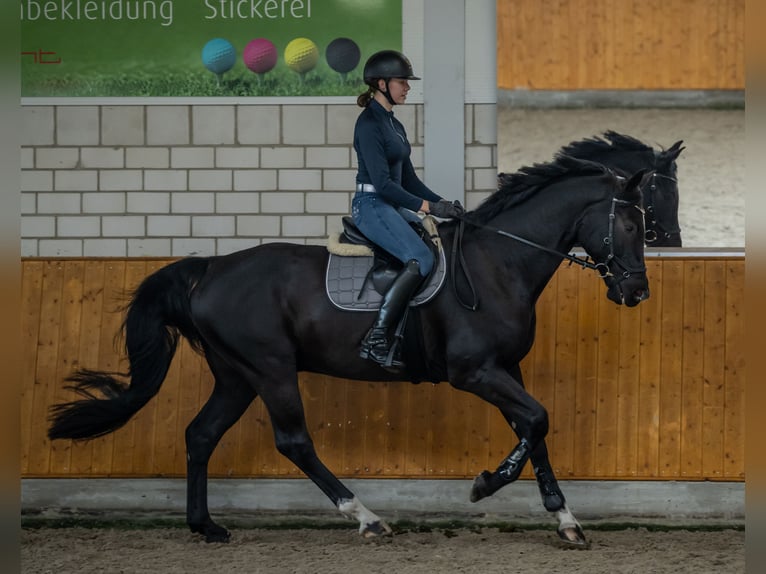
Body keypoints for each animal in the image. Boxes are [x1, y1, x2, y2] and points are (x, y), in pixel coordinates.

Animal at [46, 156, 648, 548]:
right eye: (628, 222)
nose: (637, 292)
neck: (497, 264)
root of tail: (209, 269)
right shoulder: (475, 372)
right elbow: (538, 421)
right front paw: (484, 485)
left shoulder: (506, 369)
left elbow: (534, 429)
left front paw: (566, 520)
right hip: (270, 369)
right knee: (293, 442)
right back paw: (366, 517)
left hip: (236, 375)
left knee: (200, 434)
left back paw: (207, 527)